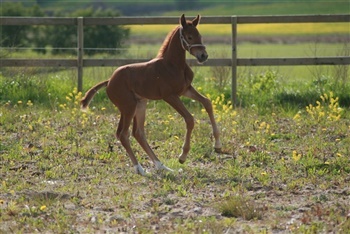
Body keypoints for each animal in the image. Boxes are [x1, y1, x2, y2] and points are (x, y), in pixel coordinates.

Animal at [81, 14, 221, 176]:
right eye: (189, 37)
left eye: (200, 35)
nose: (203, 56)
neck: (173, 65)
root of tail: (109, 81)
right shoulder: (170, 95)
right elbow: (189, 119)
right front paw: (183, 156)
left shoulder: (186, 89)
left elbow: (207, 103)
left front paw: (218, 145)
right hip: (128, 106)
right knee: (123, 134)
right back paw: (140, 169)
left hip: (140, 104)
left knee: (138, 133)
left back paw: (162, 166)